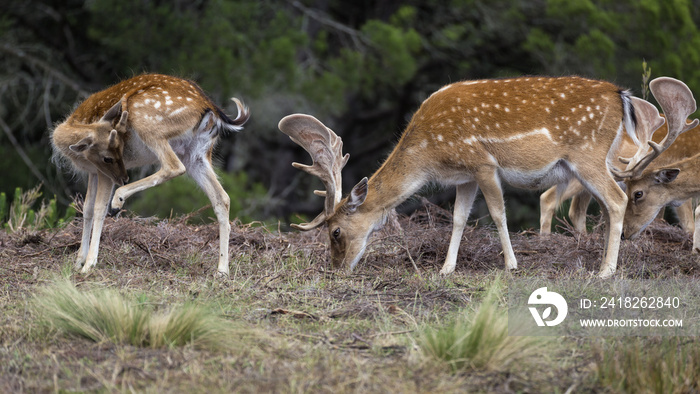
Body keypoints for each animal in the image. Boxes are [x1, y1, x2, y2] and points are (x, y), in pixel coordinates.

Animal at [52, 75, 249, 276]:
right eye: (109, 157)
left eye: (120, 149)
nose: (123, 177)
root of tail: (210, 107)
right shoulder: (93, 172)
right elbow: (87, 209)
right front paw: (78, 262)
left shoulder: (103, 172)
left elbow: (99, 208)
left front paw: (89, 264)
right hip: (197, 154)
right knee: (222, 197)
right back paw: (222, 270)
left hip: (148, 123)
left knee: (173, 166)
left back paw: (117, 201)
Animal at [278, 76, 660, 278]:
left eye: (336, 231)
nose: (336, 268)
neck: (430, 155)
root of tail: (621, 96)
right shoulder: (465, 177)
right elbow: (459, 217)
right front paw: (446, 268)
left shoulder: (483, 164)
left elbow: (497, 213)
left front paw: (511, 264)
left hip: (588, 155)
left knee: (617, 199)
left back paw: (606, 270)